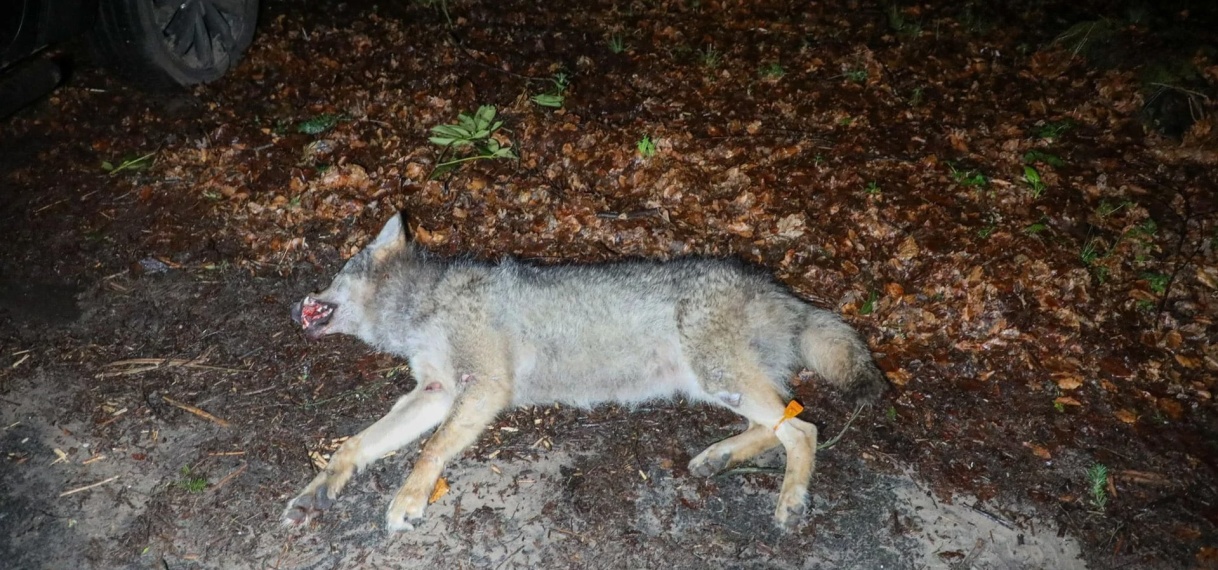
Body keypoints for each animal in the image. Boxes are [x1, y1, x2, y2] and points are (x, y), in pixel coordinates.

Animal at [287, 211, 886, 531]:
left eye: (334, 276)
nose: (299, 302)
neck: (422, 304)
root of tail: (773, 287)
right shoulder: (435, 392)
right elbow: (353, 446)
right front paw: (319, 489)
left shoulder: (482, 388)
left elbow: (429, 451)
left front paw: (408, 500)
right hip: (711, 384)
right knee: (779, 423)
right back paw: (717, 458)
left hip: (718, 378)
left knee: (802, 429)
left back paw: (789, 501)